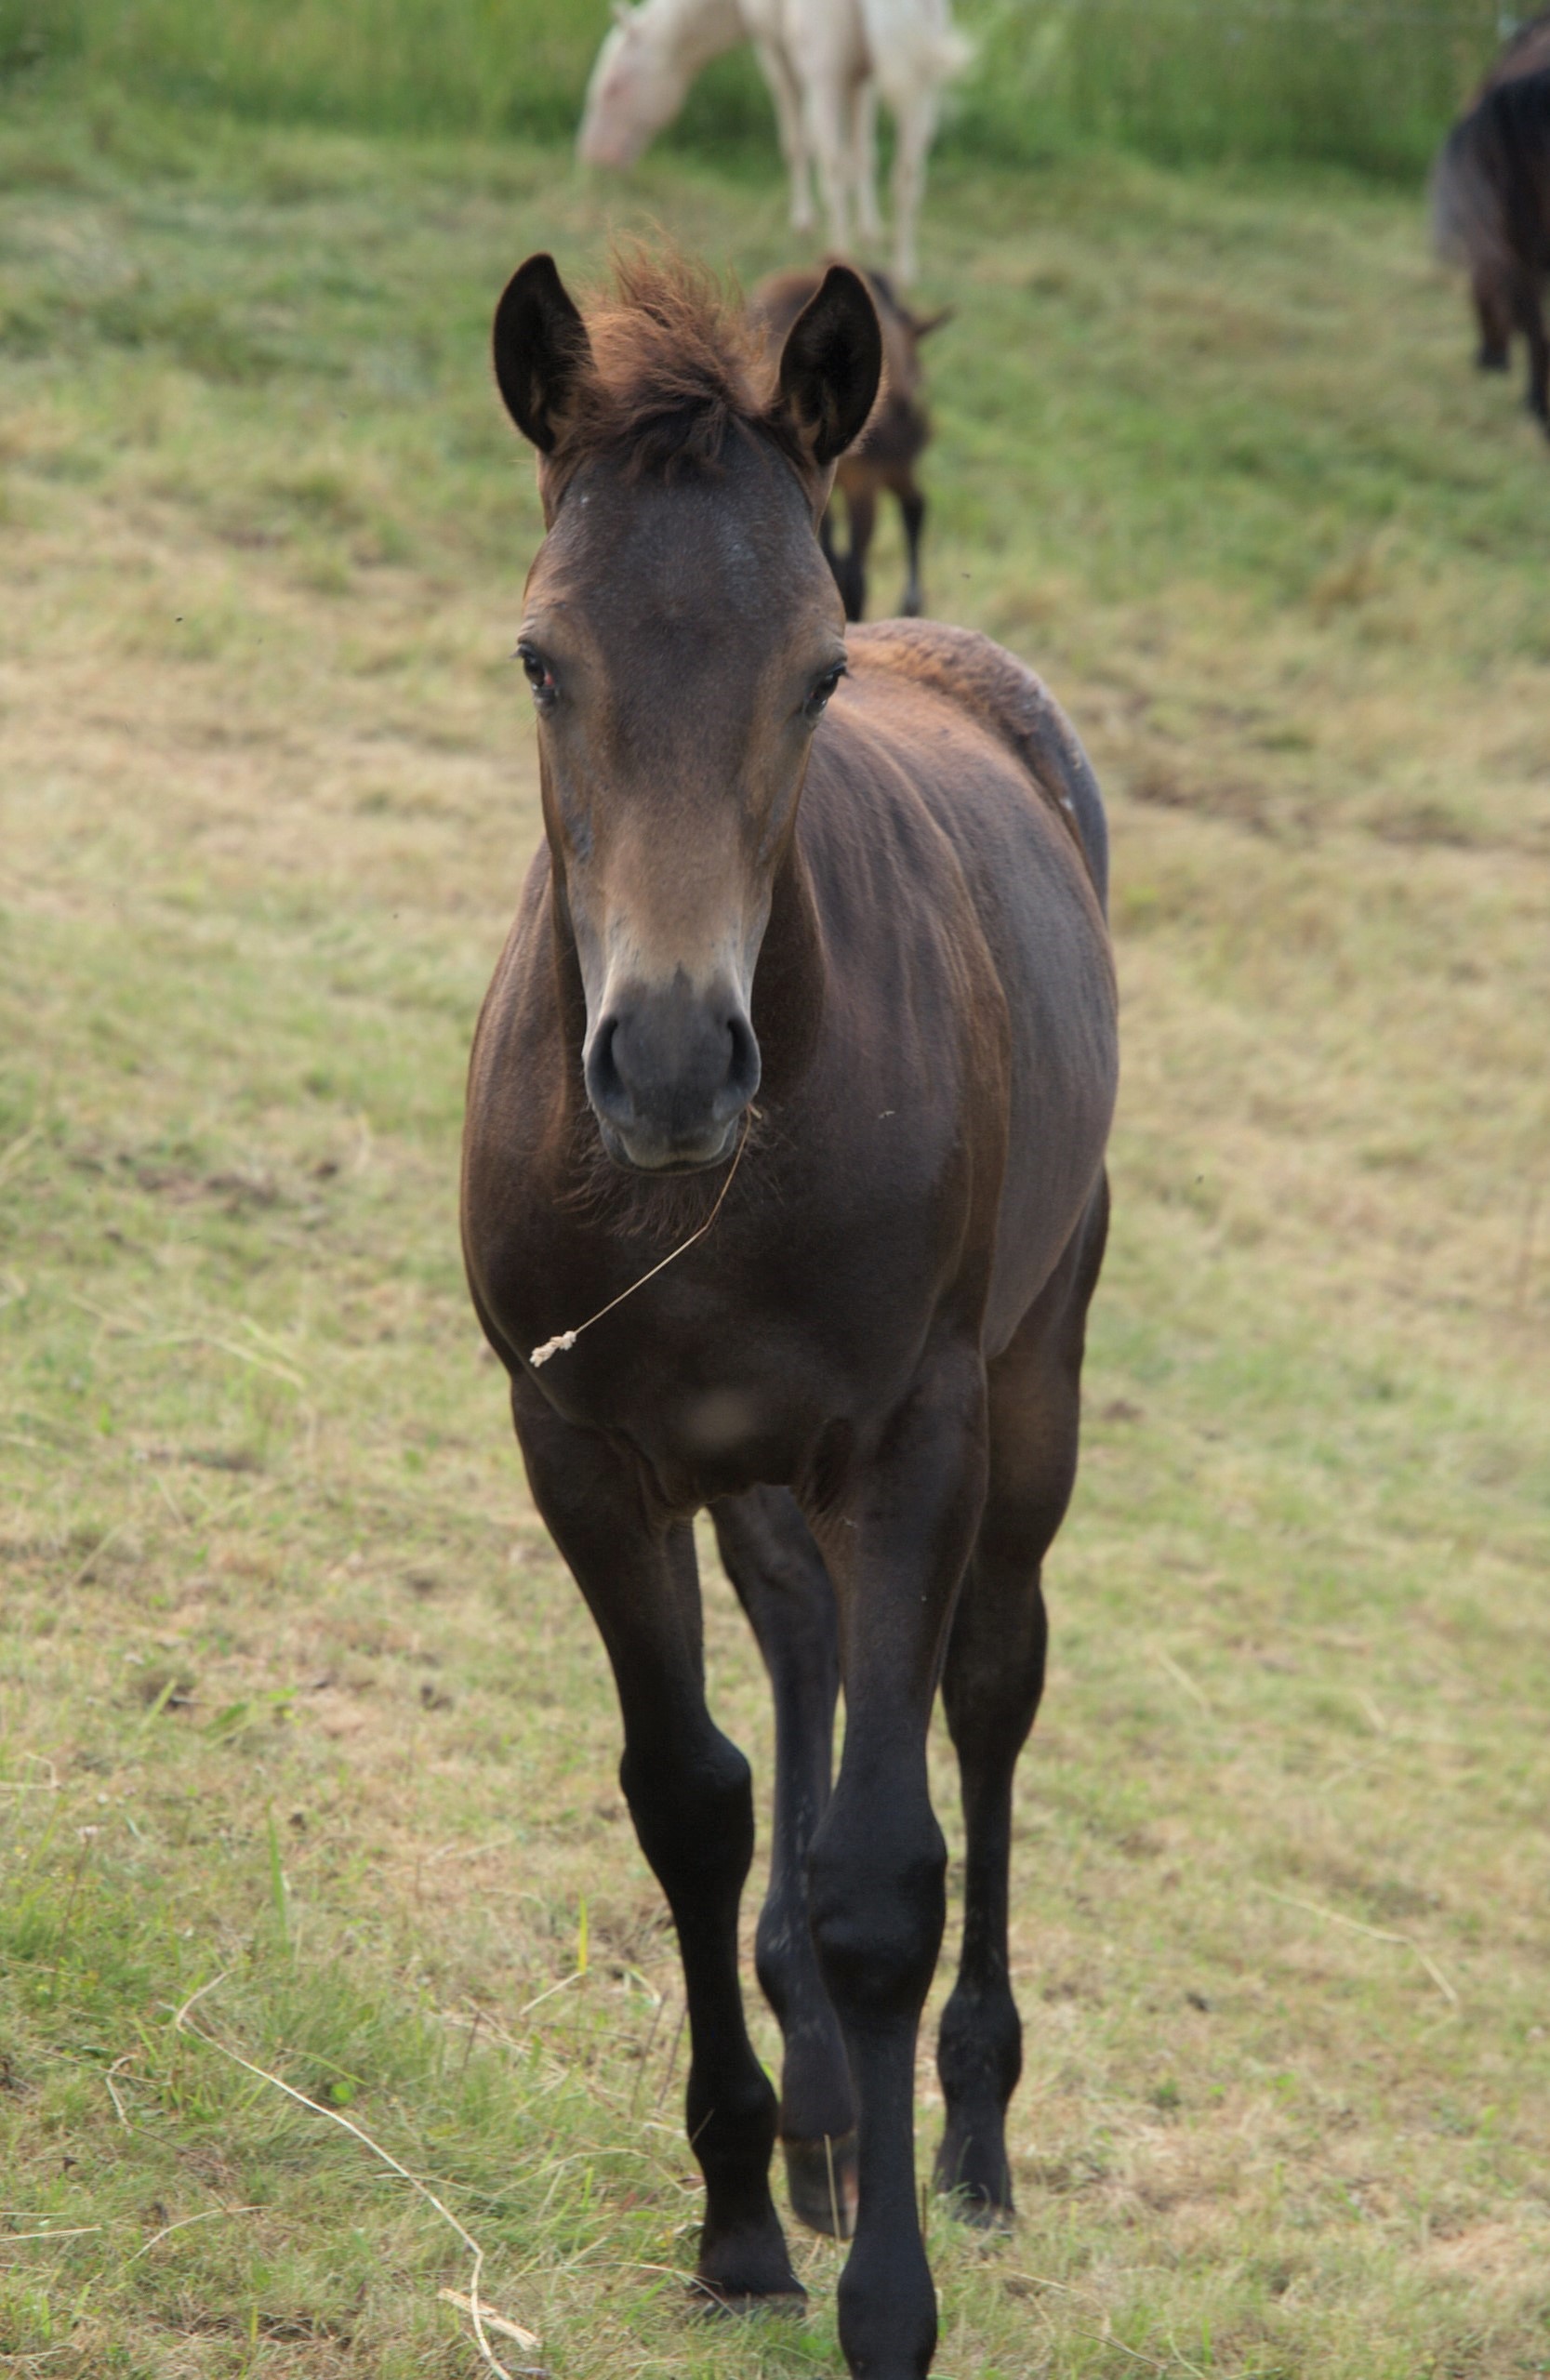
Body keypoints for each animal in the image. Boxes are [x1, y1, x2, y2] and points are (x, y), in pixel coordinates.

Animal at [461, 245, 1114, 2380]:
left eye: (812, 674)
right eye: (538, 659)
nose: (669, 1059)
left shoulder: (908, 1437)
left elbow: (882, 1874)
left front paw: (886, 2301)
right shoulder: (579, 1442)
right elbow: (693, 1800)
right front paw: (743, 2211)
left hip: (1031, 1374)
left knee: (988, 1680)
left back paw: (965, 2129)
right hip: (751, 1464)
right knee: (807, 1645)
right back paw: (828, 2119)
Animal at [578, 0, 971, 284]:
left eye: (613, 87)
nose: (592, 157)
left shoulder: (774, 49)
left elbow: (799, 142)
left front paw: (804, 221)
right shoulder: (862, 77)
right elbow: (864, 153)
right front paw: (870, 230)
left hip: (823, 75)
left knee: (833, 164)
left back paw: (840, 258)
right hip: (919, 88)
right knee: (907, 174)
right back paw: (904, 269)